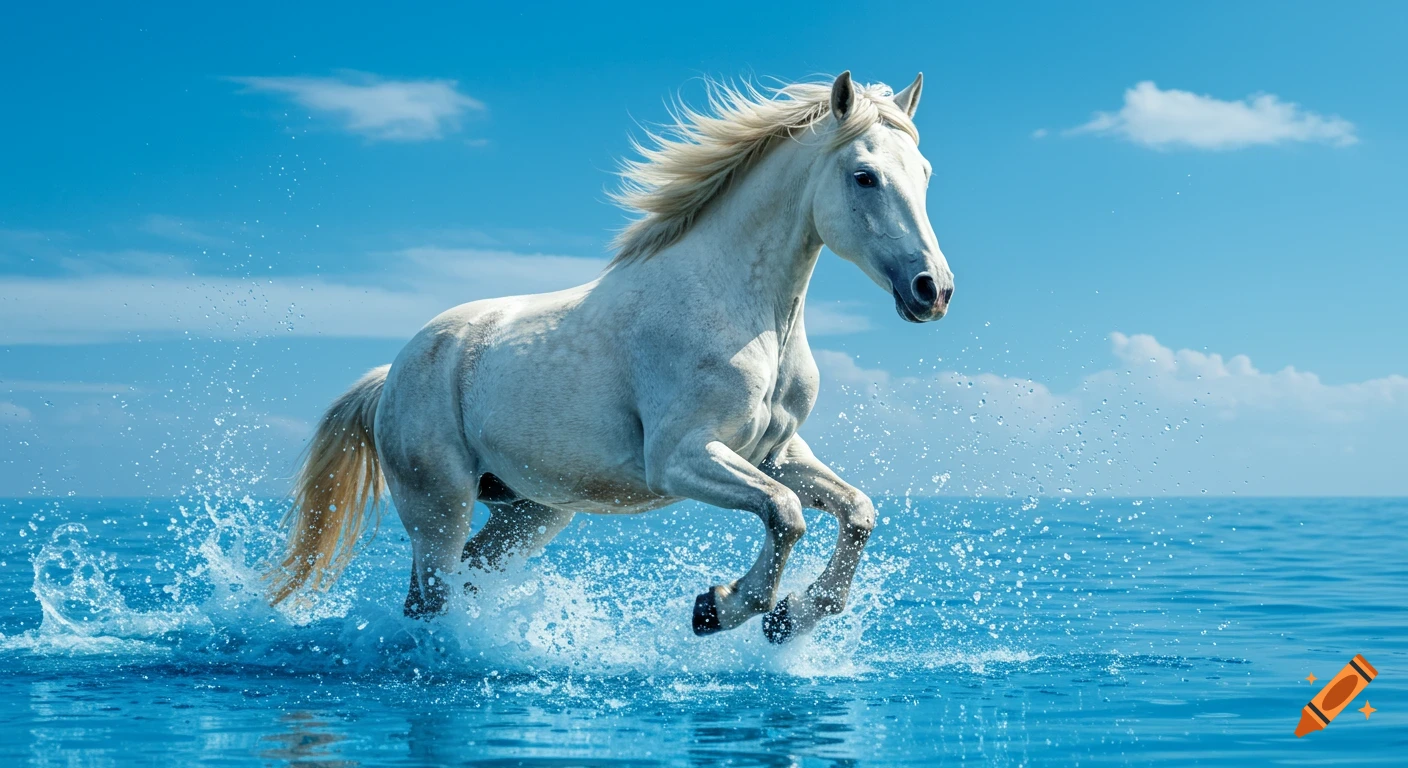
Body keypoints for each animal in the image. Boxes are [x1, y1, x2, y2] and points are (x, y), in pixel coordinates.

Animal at [266, 71, 954, 644]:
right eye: (864, 176)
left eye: (924, 171)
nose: (932, 290)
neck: (744, 312)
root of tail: (391, 375)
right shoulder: (680, 458)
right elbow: (786, 514)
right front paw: (720, 607)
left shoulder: (776, 454)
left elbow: (857, 511)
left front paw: (790, 617)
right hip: (439, 505)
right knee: (431, 595)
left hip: (531, 512)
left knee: (459, 579)